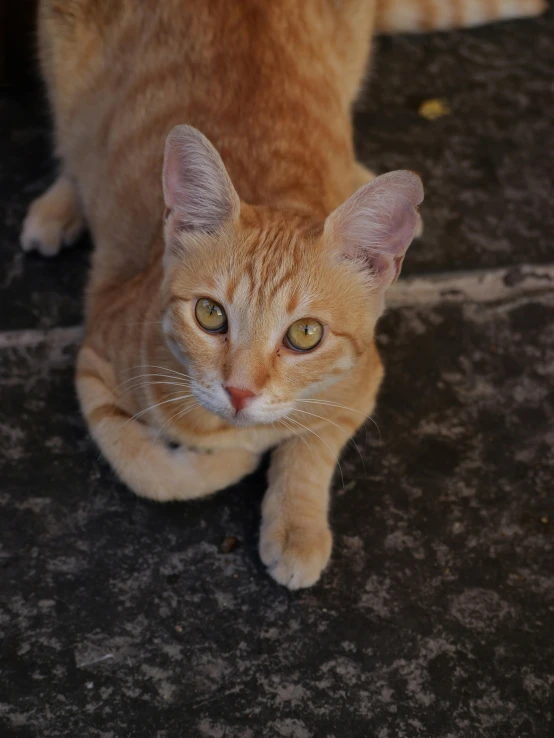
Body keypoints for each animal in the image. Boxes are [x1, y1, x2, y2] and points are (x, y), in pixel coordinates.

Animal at [22, 0, 544, 588]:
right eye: (210, 314)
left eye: (306, 334)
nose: (239, 393)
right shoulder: (95, 360)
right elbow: (146, 468)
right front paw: (231, 461)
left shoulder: (362, 383)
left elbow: (312, 444)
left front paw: (296, 524)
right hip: (61, 54)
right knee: (74, 141)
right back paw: (58, 206)